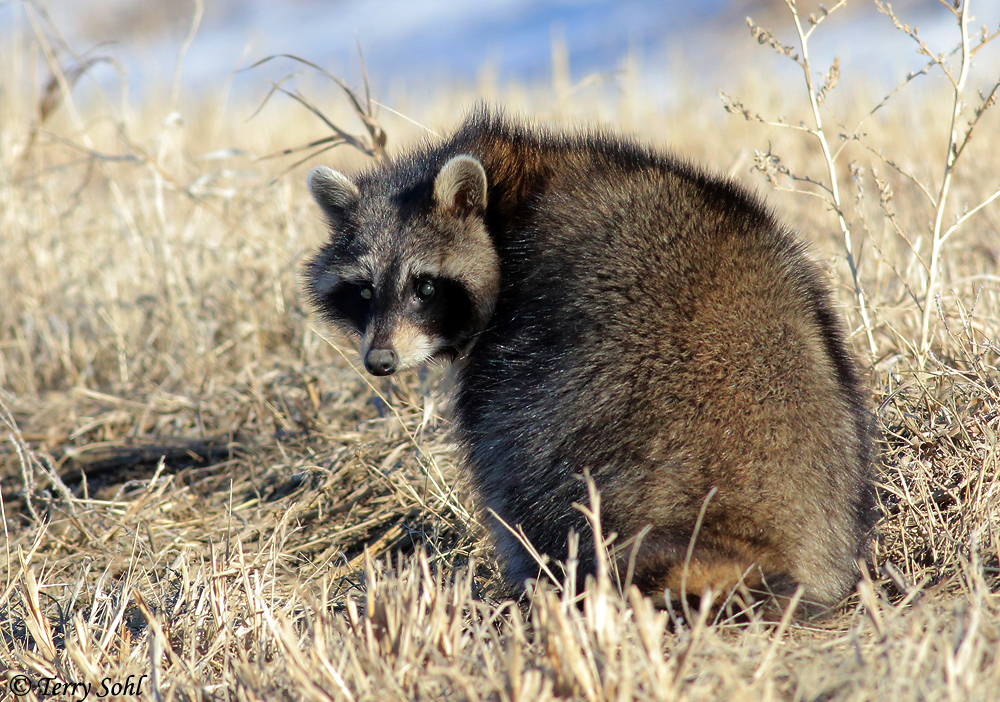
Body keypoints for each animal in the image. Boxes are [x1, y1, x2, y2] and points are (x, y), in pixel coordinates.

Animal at [304, 108, 876, 618]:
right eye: (363, 291)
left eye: (424, 287)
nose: (380, 361)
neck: (507, 189)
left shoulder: (522, 312)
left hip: (611, 399)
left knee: (514, 451)